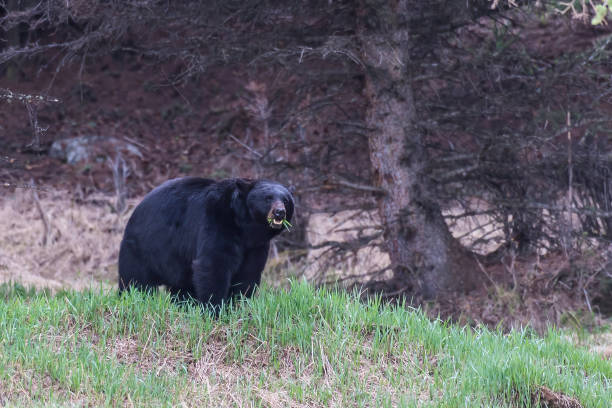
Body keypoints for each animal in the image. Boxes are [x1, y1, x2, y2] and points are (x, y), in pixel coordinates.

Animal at [118, 177, 296, 308]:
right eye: (268, 198)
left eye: (286, 200)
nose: (279, 212)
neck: (245, 227)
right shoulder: (217, 221)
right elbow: (214, 264)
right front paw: (214, 308)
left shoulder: (256, 245)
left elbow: (249, 271)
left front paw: (239, 304)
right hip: (144, 248)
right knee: (135, 280)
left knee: (181, 286)